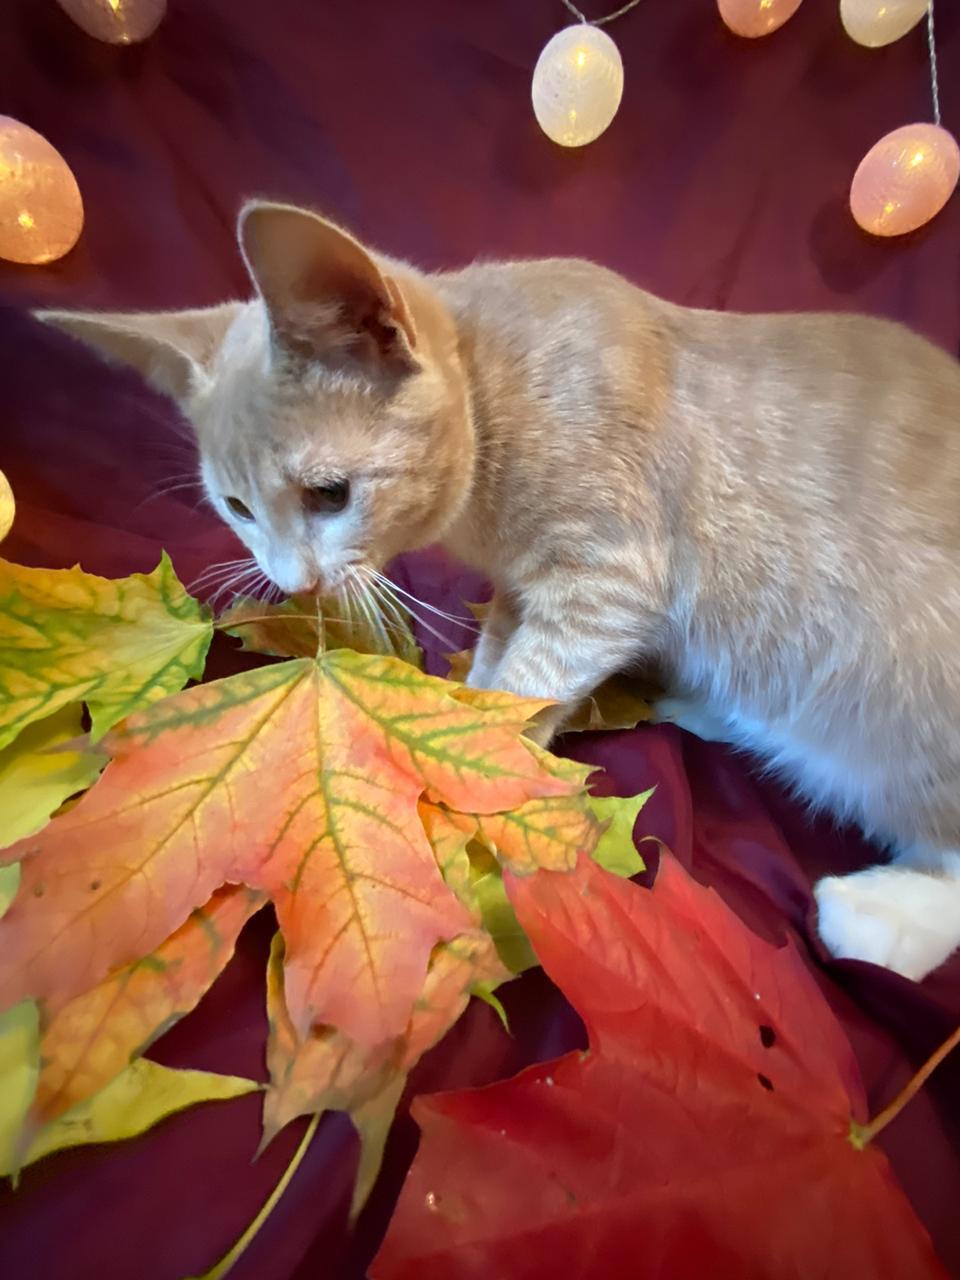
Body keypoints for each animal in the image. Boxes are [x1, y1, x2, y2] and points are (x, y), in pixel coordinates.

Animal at [33, 199, 960, 983]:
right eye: (236, 509)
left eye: (329, 494)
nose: (293, 580)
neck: (495, 394)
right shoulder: (521, 589)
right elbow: (493, 675)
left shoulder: (607, 579)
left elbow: (522, 691)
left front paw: (470, 783)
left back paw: (880, 916)